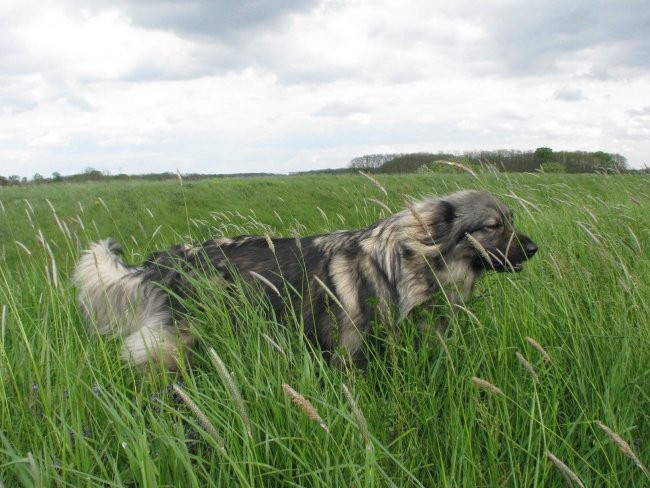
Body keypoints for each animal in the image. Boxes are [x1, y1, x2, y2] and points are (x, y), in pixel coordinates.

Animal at [72, 191, 536, 370]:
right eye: (494, 226)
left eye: (510, 220)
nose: (533, 248)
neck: (406, 262)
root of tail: (166, 259)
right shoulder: (351, 353)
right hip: (178, 342)